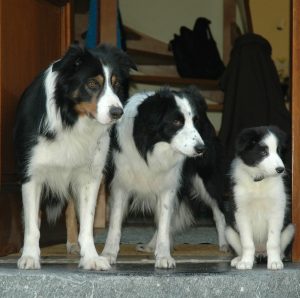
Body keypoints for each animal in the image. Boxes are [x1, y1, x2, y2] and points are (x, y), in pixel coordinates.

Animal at [13, 44, 135, 270]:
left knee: (70, 209)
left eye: (116, 84)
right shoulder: (31, 174)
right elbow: (33, 222)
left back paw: (72, 244)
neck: (72, 120)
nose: (117, 112)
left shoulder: (91, 176)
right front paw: (30, 256)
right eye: (92, 83)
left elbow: (86, 222)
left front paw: (91, 257)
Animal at [102, 85, 226, 268]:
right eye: (176, 122)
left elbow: (165, 222)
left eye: (195, 121)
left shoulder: (169, 186)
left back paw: (224, 244)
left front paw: (164, 257)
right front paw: (108, 254)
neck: (152, 146)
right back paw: (149, 246)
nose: (201, 149)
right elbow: (115, 224)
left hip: (206, 179)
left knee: (218, 211)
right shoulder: (120, 184)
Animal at [225, 125, 296, 270]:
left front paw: (274, 262)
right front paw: (246, 262)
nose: (281, 169)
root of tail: (260, 253)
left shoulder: (277, 212)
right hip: (229, 231)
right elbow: (247, 243)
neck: (259, 181)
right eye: (263, 152)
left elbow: (273, 242)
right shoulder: (241, 213)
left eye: (278, 151)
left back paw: (279, 257)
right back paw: (240, 259)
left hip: (290, 229)